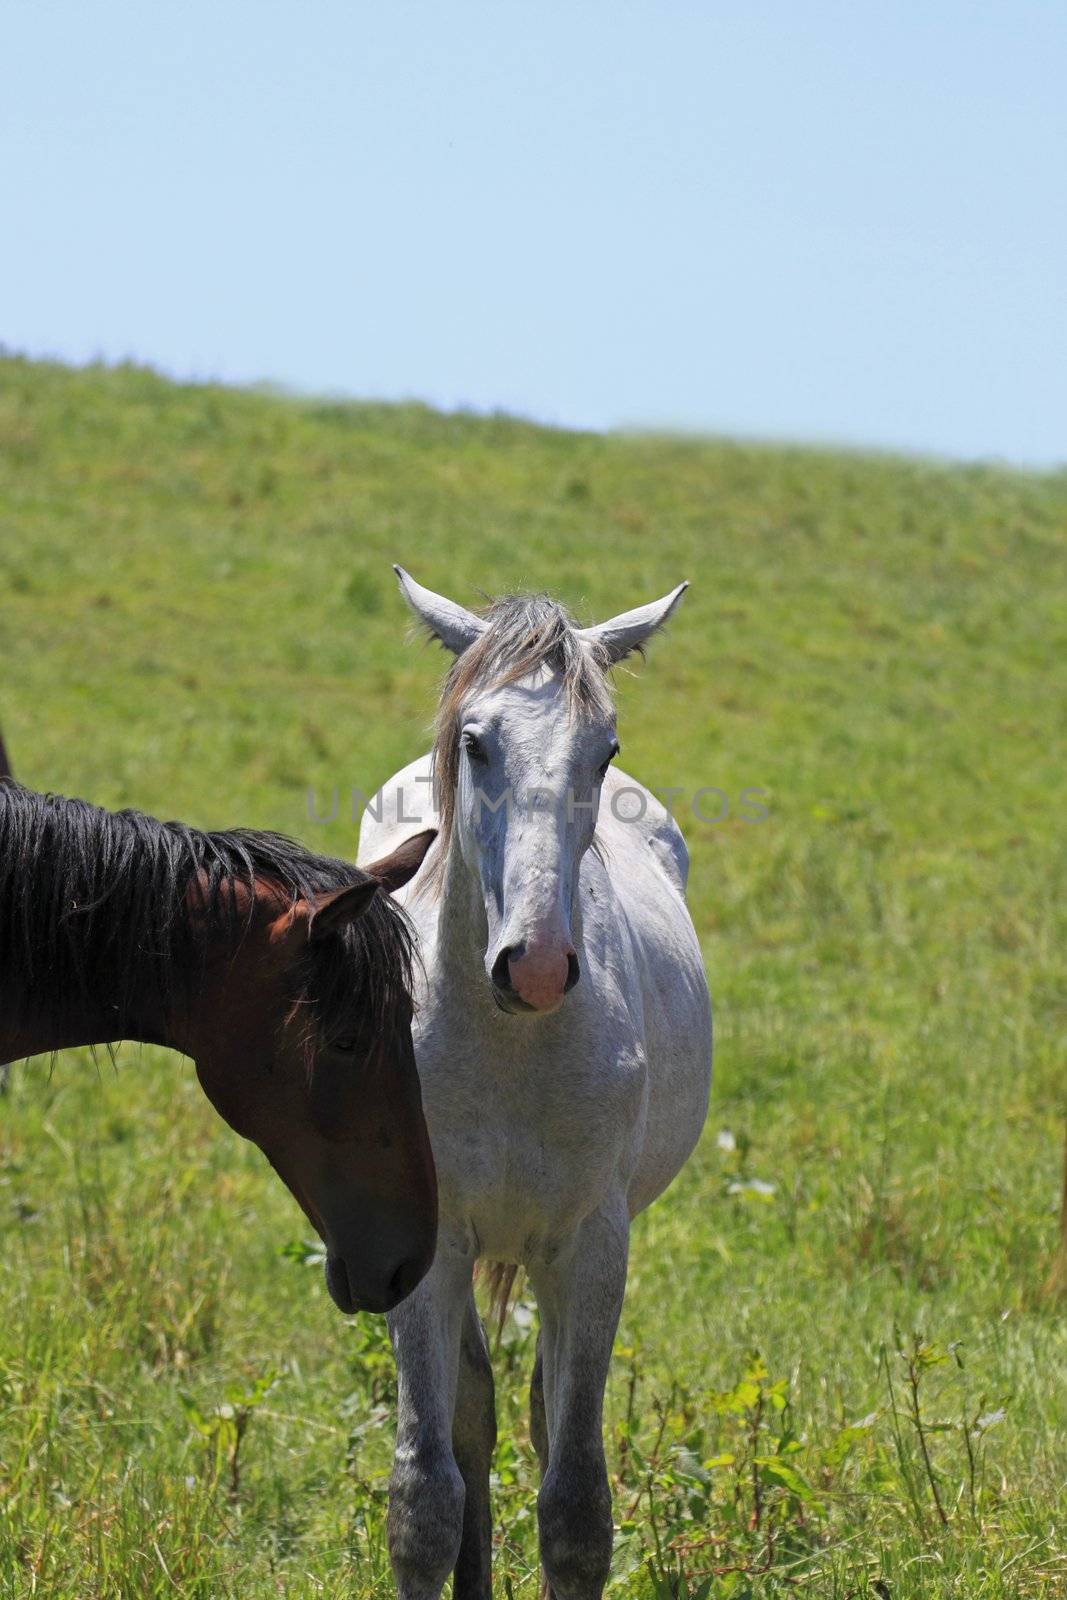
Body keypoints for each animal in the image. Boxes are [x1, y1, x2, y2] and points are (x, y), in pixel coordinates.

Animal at [361, 572, 716, 1600]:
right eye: (475, 742)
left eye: (605, 751)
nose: (539, 966)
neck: (508, 1045)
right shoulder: (426, 1243)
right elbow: (425, 1499)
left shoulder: (591, 1247)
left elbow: (575, 1503)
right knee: (471, 1423)